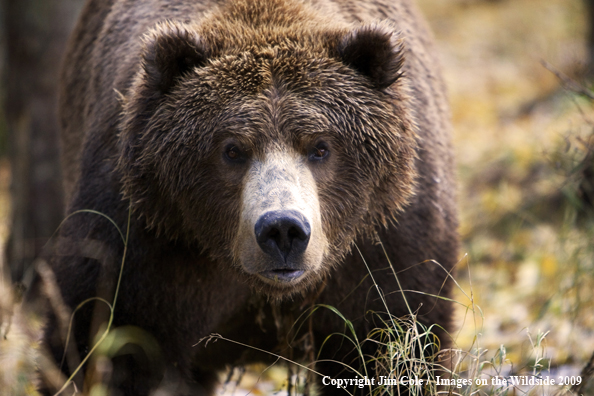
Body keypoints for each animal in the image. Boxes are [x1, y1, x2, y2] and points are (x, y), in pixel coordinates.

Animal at [42, 0, 458, 394]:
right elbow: (108, 343)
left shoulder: (386, 244)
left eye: (320, 146)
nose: (283, 229)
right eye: (232, 149)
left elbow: (395, 346)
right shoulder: (146, 238)